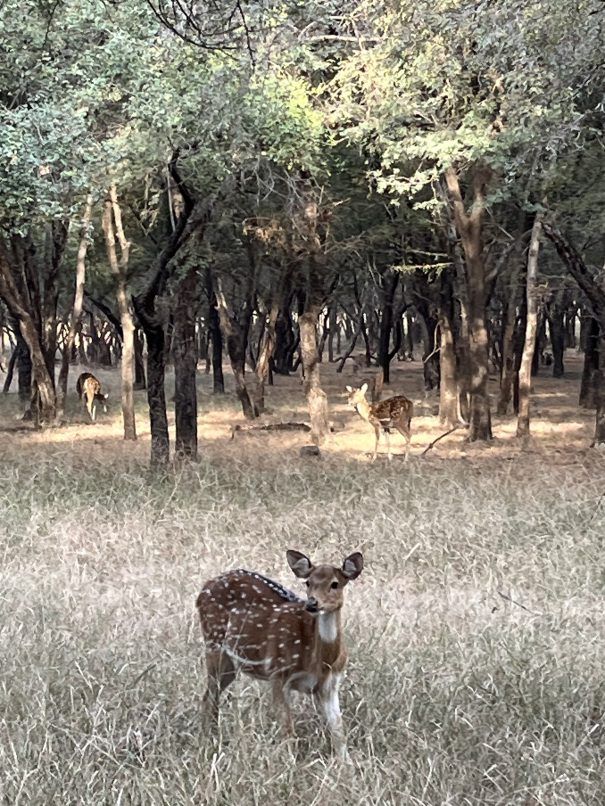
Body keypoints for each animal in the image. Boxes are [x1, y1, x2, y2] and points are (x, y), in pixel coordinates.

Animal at [196, 548, 364, 760]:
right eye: (308, 582)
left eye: (335, 584)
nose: (312, 604)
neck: (321, 662)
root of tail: (204, 588)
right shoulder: (278, 672)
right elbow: (287, 730)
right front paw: (290, 763)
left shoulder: (330, 684)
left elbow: (339, 732)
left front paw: (346, 764)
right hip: (213, 643)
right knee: (209, 697)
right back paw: (208, 742)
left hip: (230, 663)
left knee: (211, 696)